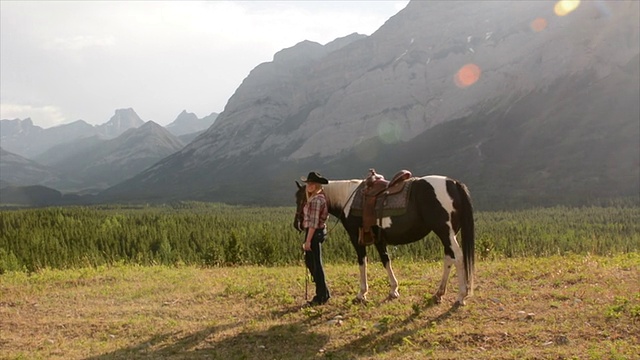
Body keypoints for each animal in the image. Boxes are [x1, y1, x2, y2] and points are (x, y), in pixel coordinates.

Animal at [296, 173, 476, 306]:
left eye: (299, 197)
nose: (297, 224)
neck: (347, 198)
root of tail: (453, 183)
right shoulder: (379, 240)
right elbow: (386, 261)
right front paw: (393, 290)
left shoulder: (356, 238)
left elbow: (362, 262)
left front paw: (362, 293)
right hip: (448, 234)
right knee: (449, 258)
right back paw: (439, 293)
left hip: (445, 232)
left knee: (458, 258)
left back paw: (461, 296)